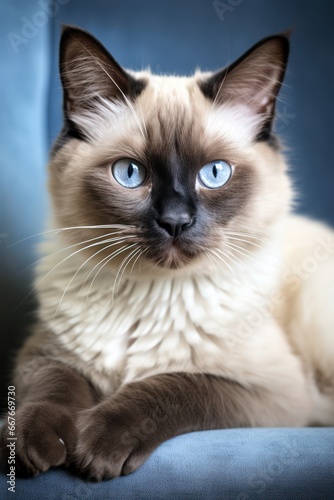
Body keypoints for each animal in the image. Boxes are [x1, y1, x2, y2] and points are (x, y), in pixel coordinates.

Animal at [2, 27, 334, 480]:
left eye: (214, 174)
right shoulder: (45, 351)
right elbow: (51, 386)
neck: (150, 296)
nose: (175, 221)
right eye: (130, 173)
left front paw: (94, 447)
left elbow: (172, 386)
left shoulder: (273, 394)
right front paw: (35, 444)